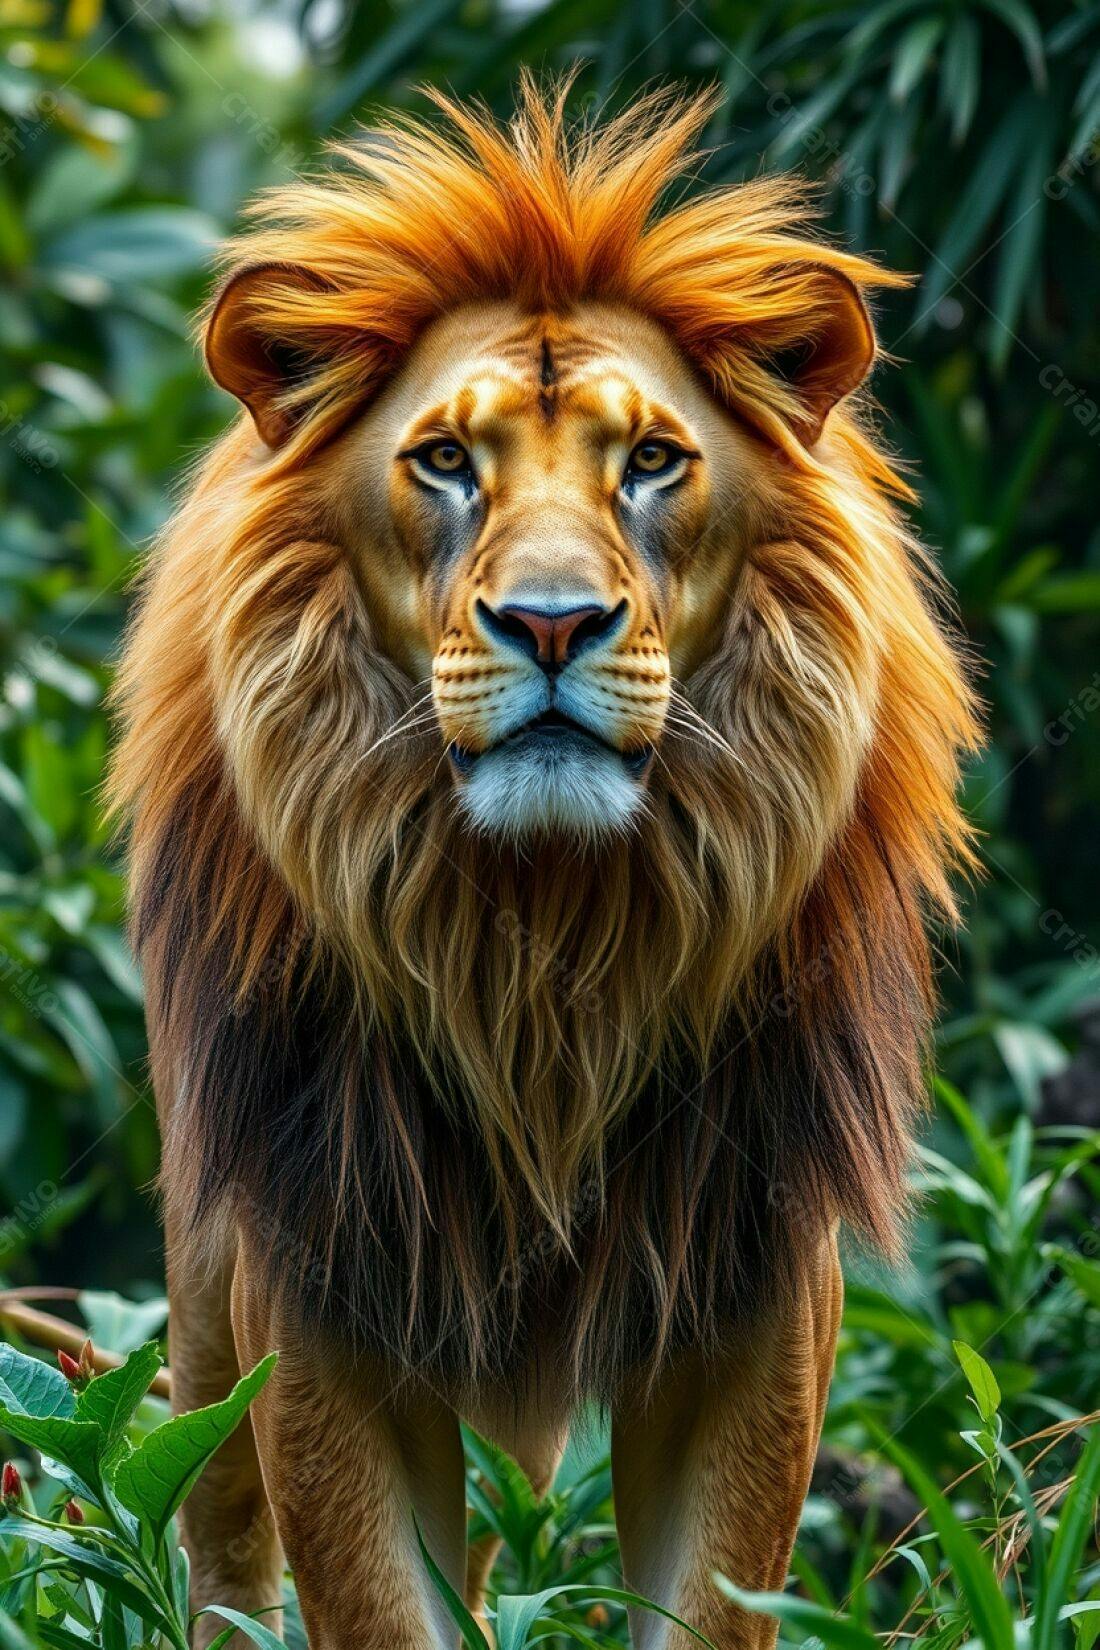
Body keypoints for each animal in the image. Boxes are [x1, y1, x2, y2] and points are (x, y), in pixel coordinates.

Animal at [109, 77, 977, 1650]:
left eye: (652, 461)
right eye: (447, 460)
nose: (555, 622)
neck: (544, 941)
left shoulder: (751, 1294)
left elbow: (713, 1601)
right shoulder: (318, 1282)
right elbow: (373, 1602)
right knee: (211, 1536)